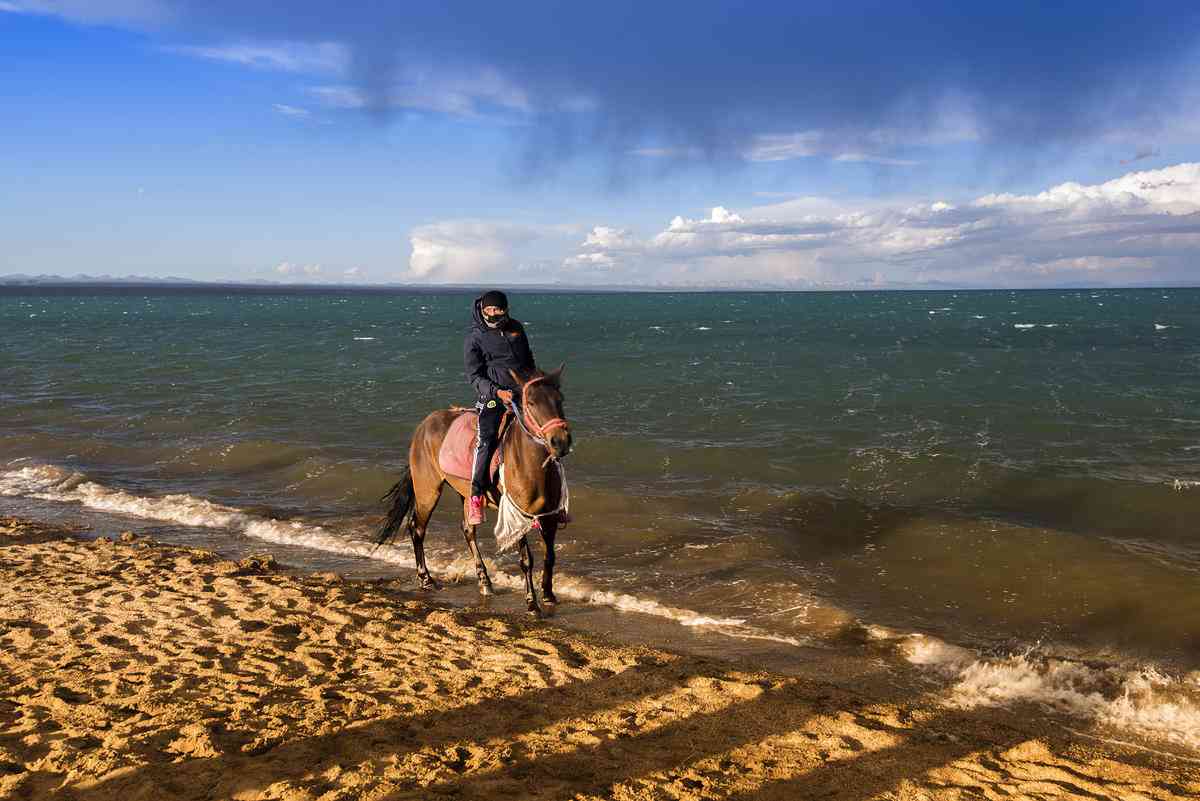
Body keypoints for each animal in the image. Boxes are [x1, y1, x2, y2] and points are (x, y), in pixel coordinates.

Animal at [379, 366, 576, 618]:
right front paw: (532, 603)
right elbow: (526, 560)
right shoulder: (517, 517)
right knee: (417, 527)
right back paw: (426, 579)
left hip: (466, 493)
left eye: (559, 399)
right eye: (531, 402)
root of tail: (424, 425)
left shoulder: (549, 515)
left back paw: (484, 581)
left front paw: (549, 594)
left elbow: (549, 556)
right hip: (428, 490)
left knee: (467, 530)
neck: (531, 464)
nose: (560, 441)